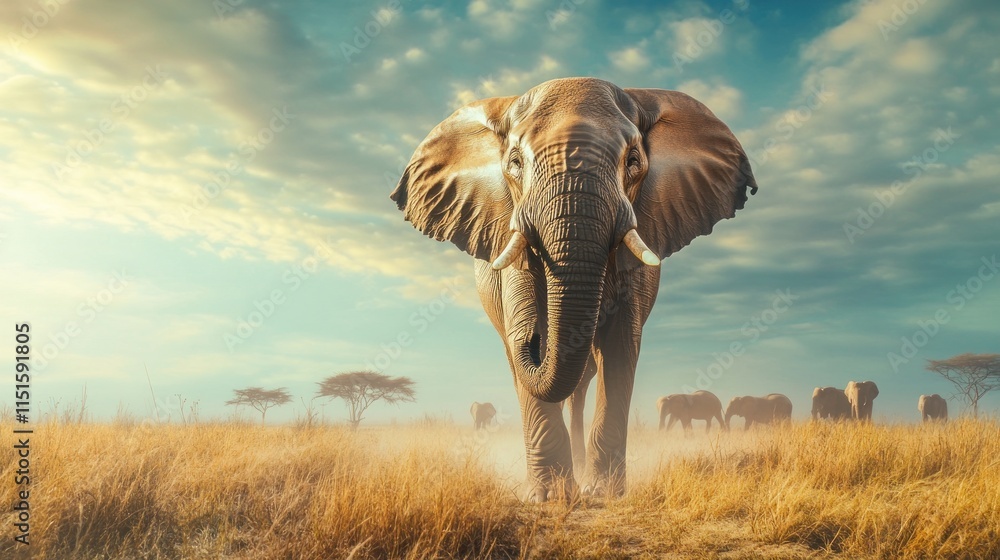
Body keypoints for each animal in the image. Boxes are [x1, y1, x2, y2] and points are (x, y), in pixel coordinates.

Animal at [391, 77, 758, 501]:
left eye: (633, 160)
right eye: (515, 163)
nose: (539, 338)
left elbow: (621, 345)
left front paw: (604, 493)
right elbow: (524, 344)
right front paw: (551, 497)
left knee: (581, 381)